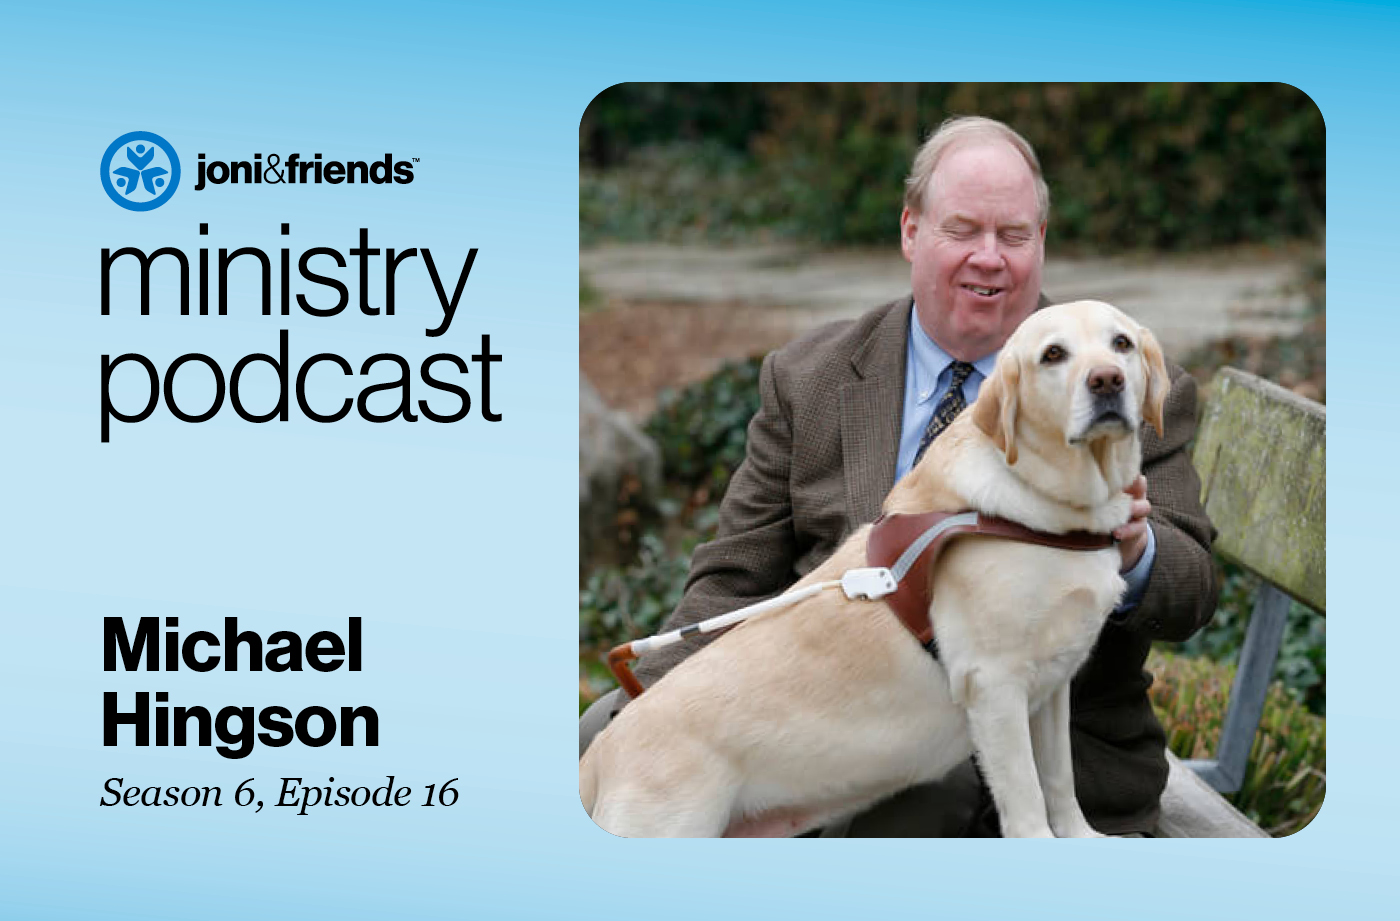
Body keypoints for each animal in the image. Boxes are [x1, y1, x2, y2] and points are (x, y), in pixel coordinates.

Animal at [579, 299, 1170, 834]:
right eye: (1053, 354)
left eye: (1121, 343)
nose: (1107, 380)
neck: (1054, 509)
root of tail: (599, 756)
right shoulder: (996, 685)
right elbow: (1027, 799)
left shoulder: (1051, 685)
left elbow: (1059, 781)